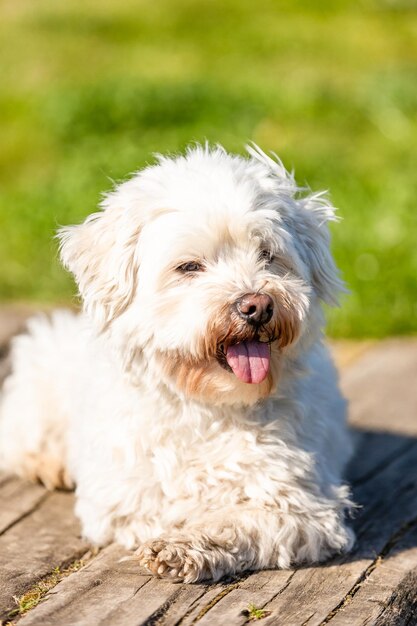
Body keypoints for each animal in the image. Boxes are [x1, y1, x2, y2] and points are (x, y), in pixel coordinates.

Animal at [0, 145, 354, 580]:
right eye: (189, 267)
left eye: (268, 255)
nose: (257, 305)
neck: (208, 405)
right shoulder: (122, 497)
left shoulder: (306, 508)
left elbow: (243, 519)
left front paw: (185, 545)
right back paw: (50, 464)